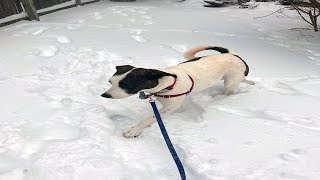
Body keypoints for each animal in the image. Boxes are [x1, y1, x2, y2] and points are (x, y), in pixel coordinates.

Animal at [101, 45, 254, 138]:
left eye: (127, 85)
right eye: (110, 82)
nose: (104, 95)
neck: (167, 83)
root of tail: (233, 54)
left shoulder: (170, 108)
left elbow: (150, 118)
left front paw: (134, 130)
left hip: (230, 82)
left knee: (231, 89)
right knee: (242, 79)